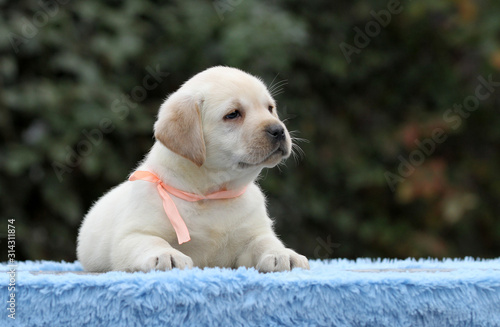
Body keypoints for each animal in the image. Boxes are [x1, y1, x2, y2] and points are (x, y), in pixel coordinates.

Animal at [77, 66, 308, 274]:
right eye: (233, 114)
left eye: (270, 108)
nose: (279, 130)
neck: (210, 194)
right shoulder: (133, 234)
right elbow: (152, 242)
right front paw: (167, 255)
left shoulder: (252, 234)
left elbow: (266, 242)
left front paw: (283, 254)